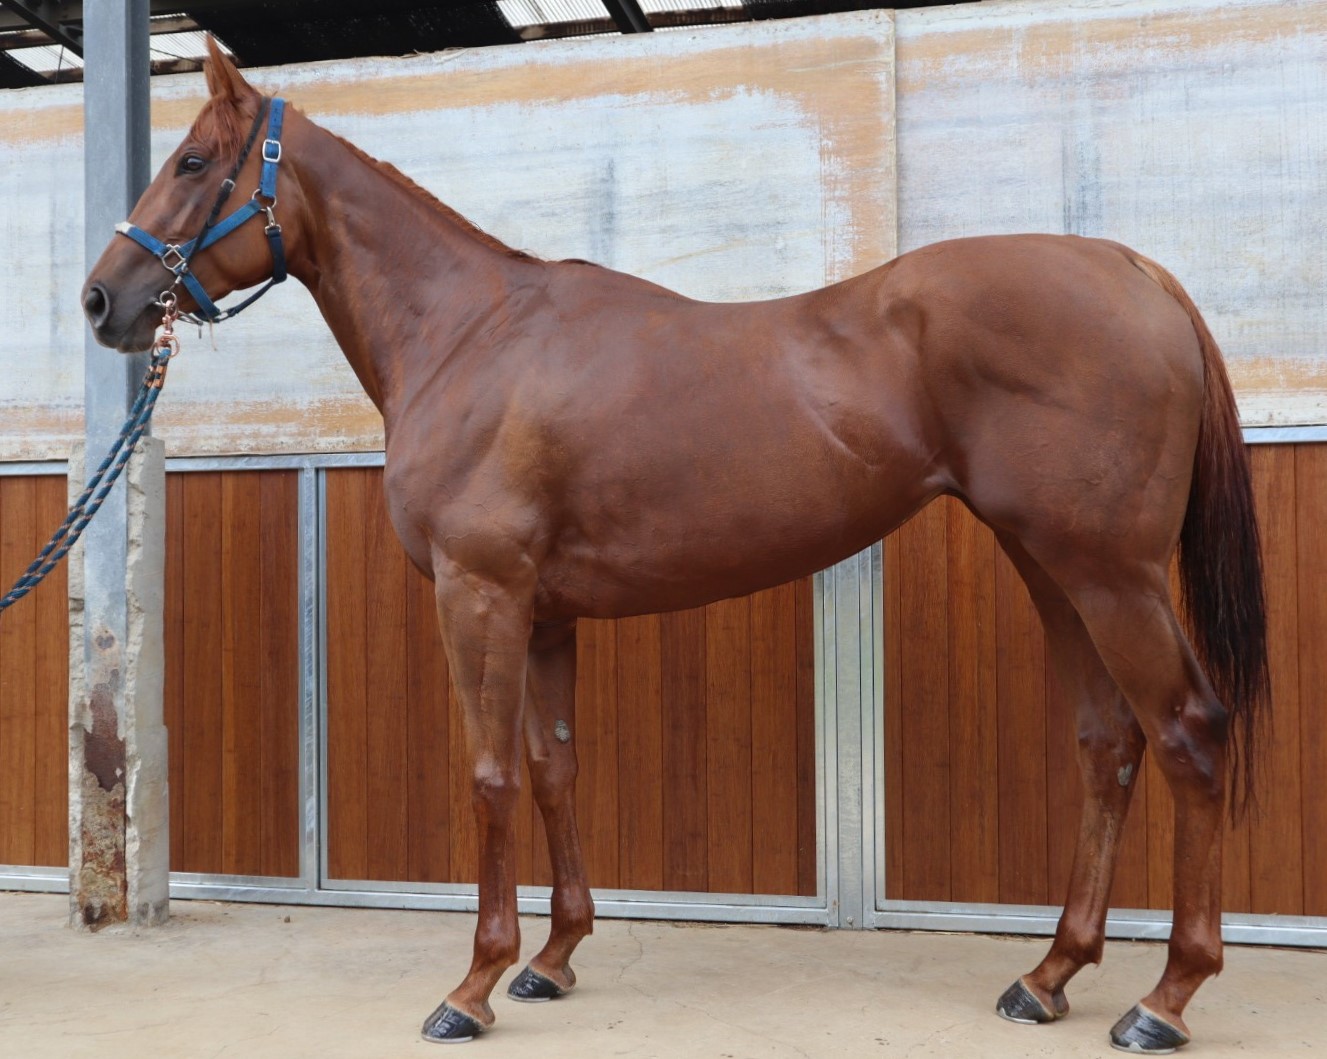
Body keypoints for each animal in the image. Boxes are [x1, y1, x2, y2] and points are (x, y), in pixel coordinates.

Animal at [82, 39, 1268, 1054]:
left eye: (192, 162)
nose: (103, 301)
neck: (469, 335)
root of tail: (1135, 271)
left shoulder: (480, 595)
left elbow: (489, 776)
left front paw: (473, 984)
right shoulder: (545, 614)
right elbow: (553, 767)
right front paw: (553, 959)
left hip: (1109, 576)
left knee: (1189, 734)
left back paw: (1165, 998)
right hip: (1052, 569)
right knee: (1107, 744)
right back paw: (1049, 974)